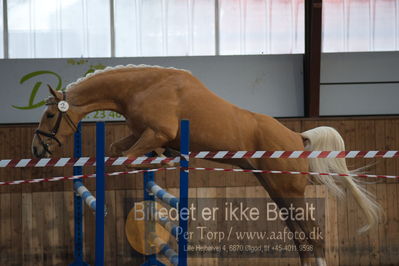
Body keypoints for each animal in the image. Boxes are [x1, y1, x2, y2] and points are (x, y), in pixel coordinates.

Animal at [31, 65, 382, 266]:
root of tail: (298, 137)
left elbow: (124, 156)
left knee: (315, 236)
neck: (142, 87)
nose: (37, 148)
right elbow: (119, 150)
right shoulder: (142, 133)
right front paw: (158, 158)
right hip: (277, 192)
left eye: (49, 115)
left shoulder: (155, 132)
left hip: (289, 194)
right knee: (301, 238)